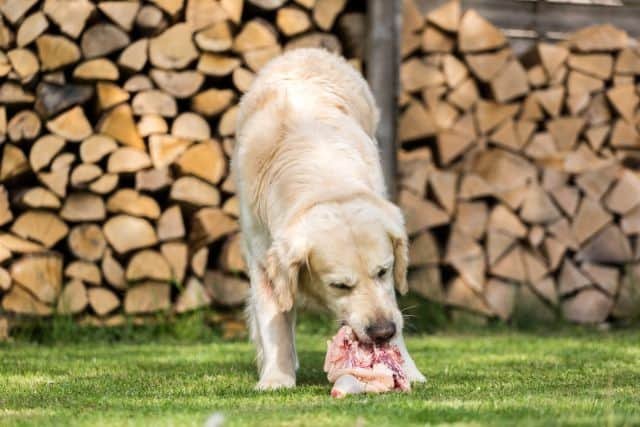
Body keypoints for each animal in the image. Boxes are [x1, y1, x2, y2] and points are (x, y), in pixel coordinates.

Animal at [234, 48, 424, 390]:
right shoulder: (263, 256)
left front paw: (408, 370)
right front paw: (277, 377)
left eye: (383, 272)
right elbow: (274, 321)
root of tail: (307, 50)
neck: (324, 180)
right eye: (339, 285)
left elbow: (392, 306)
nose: (382, 332)